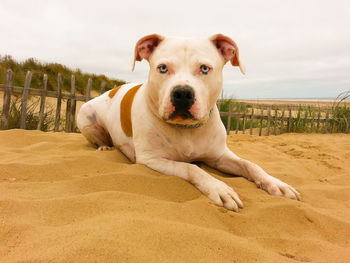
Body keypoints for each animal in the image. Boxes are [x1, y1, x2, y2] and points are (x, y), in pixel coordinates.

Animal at [77, 33, 300, 212]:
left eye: (204, 68)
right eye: (163, 68)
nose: (182, 93)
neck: (187, 129)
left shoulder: (219, 156)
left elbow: (250, 164)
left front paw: (275, 183)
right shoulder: (152, 160)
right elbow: (192, 168)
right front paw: (219, 187)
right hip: (85, 114)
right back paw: (104, 146)